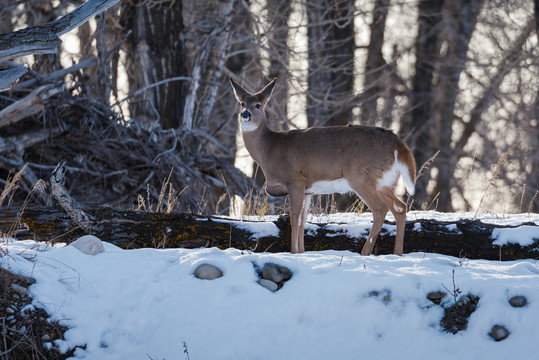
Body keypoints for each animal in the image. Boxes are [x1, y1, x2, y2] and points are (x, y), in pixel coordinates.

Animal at [229, 77, 418, 255]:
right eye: (242, 103)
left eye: (258, 105)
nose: (245, 114)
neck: (269, 150)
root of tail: (398, 144)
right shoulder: (308, 189)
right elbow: (303, 219)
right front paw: (301, 251)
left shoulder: (295, 179)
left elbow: (294, 217)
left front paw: (293, 252)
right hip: (384, 181)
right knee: (400, 208)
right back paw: (397, 253)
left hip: (361, 176)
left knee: (380, 209)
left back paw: (365, 253)